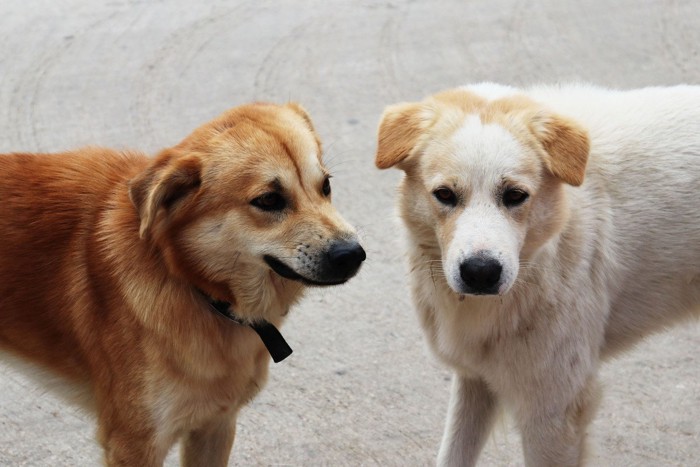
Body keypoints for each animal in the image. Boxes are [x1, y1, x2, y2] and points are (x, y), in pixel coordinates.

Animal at [0, 101, 370, 464]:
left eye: (326, 186)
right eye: (268, 200)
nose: (353, 254)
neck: (187, 281)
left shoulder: (215, 426)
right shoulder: (134, 444)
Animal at [374, 85, 700, 467]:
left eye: (515, 195)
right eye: (445, 195)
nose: (480, 273)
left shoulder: (552, 411)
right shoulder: (475, 379)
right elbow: (452, 455)